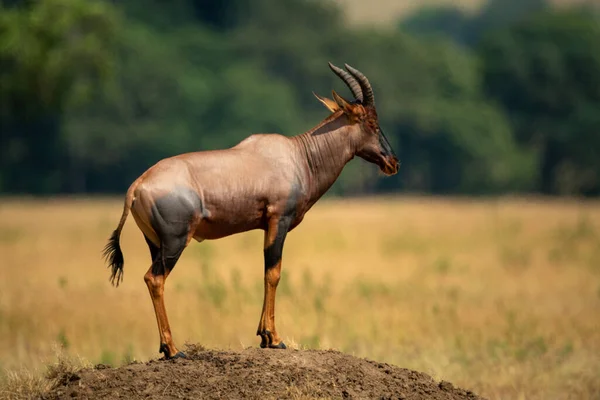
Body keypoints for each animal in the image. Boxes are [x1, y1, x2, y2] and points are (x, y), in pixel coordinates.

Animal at [104, 63, 398, 360]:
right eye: (371, 123)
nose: (392, 162)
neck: (298, 156)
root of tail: (137, 185)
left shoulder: (266, 225)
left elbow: (266, 272)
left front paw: (263, 336)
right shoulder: (279, 220)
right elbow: (274, 272)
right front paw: (274, 339)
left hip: (155, 242)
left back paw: (167, 349)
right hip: (175, 241)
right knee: (155, 278)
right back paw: (173, 350)